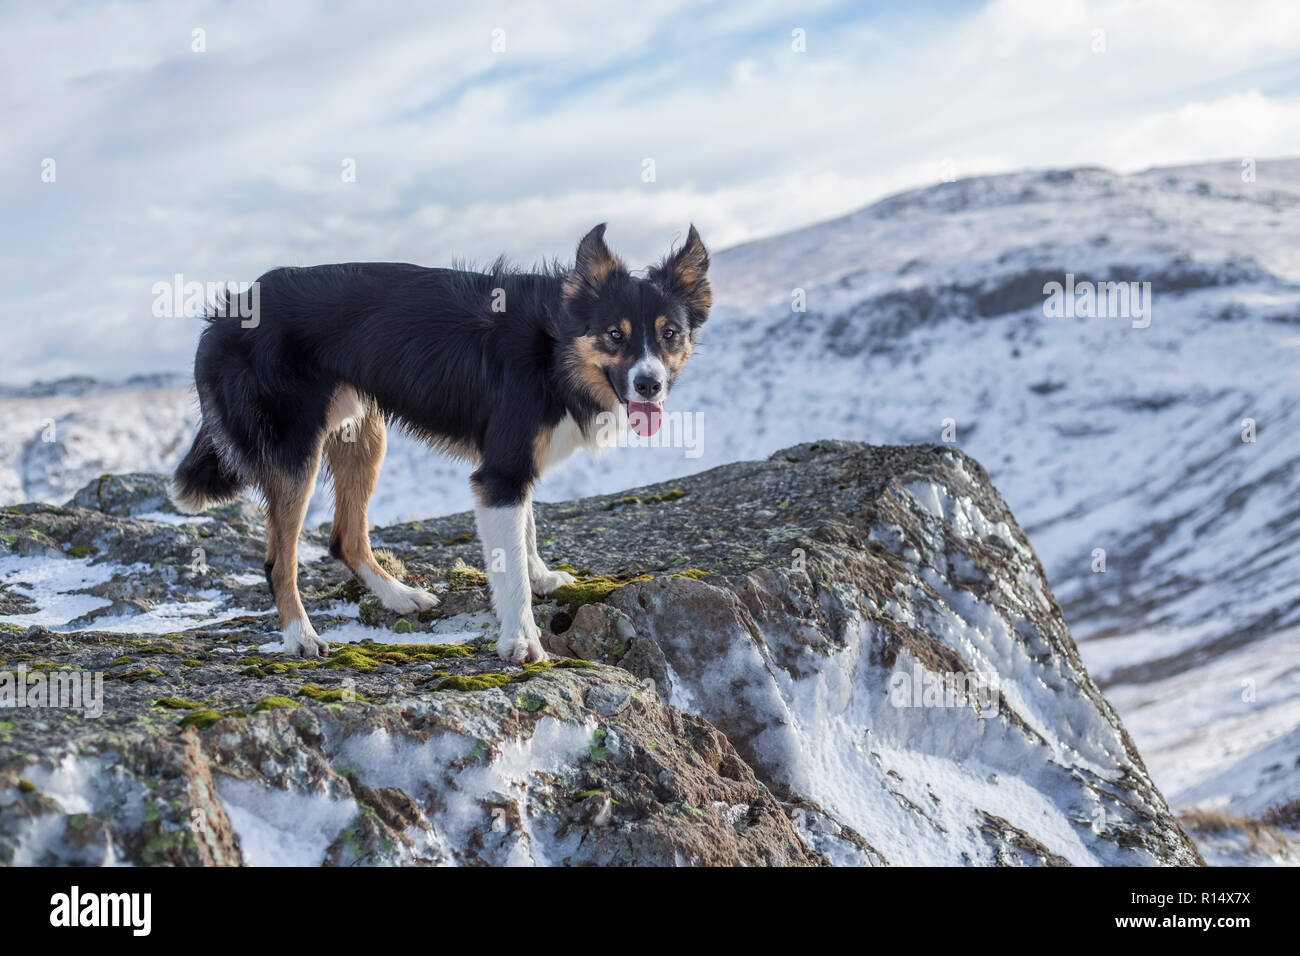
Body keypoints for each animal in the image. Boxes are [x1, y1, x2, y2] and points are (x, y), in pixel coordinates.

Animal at [170, 222, 712, 665]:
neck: (554, 348)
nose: (649, 384)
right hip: (295, 450)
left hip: (363, 432)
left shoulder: (512, 467)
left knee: (345, 537)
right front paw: (521, 640)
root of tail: (227, 311)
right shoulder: (501, 472)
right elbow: (510, 566)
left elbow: (527, 533)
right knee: (278, 561)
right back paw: (299, 636)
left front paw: (541, 577)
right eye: (615, 335)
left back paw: (398, 597)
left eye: (669, 334)